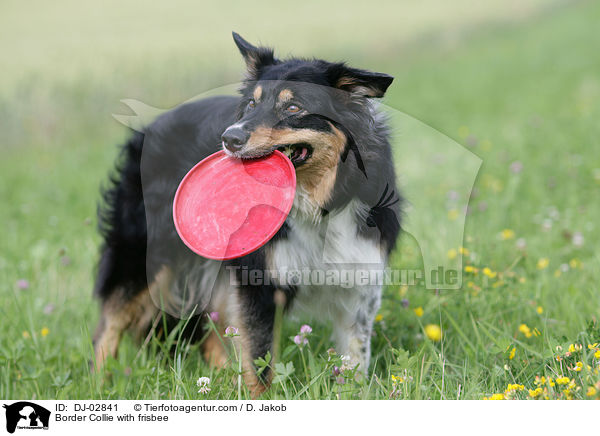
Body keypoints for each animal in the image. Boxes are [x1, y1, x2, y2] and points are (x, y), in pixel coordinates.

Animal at [92, 32, 404, 396]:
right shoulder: (259, 279)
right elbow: (258, 358)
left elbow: (354, 359)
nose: (229, 138)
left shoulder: (358, 280)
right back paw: (98, 383)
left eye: (293, 107)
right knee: (110, 322)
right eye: (252, 104)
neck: (318, 205)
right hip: (142, 250)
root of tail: (153, 125)